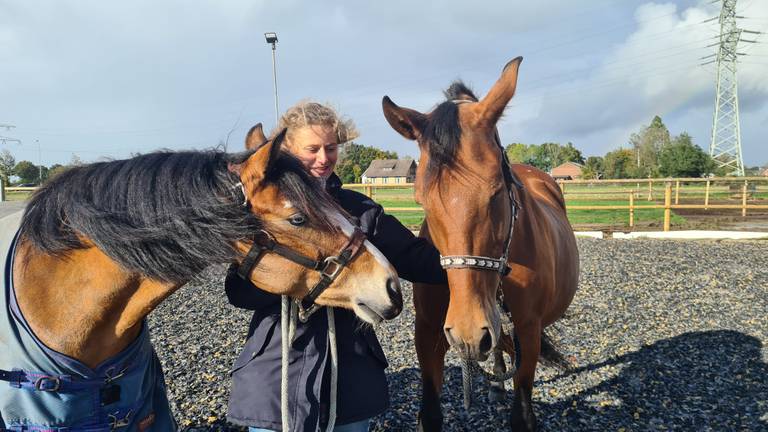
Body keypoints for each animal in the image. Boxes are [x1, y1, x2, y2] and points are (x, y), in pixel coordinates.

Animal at [380, 56, 580, 428]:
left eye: (497, 191)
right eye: (422, 200)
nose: (469, 332)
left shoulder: (528, 332)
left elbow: (523, 413)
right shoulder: (428, 333)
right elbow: (430, 414)